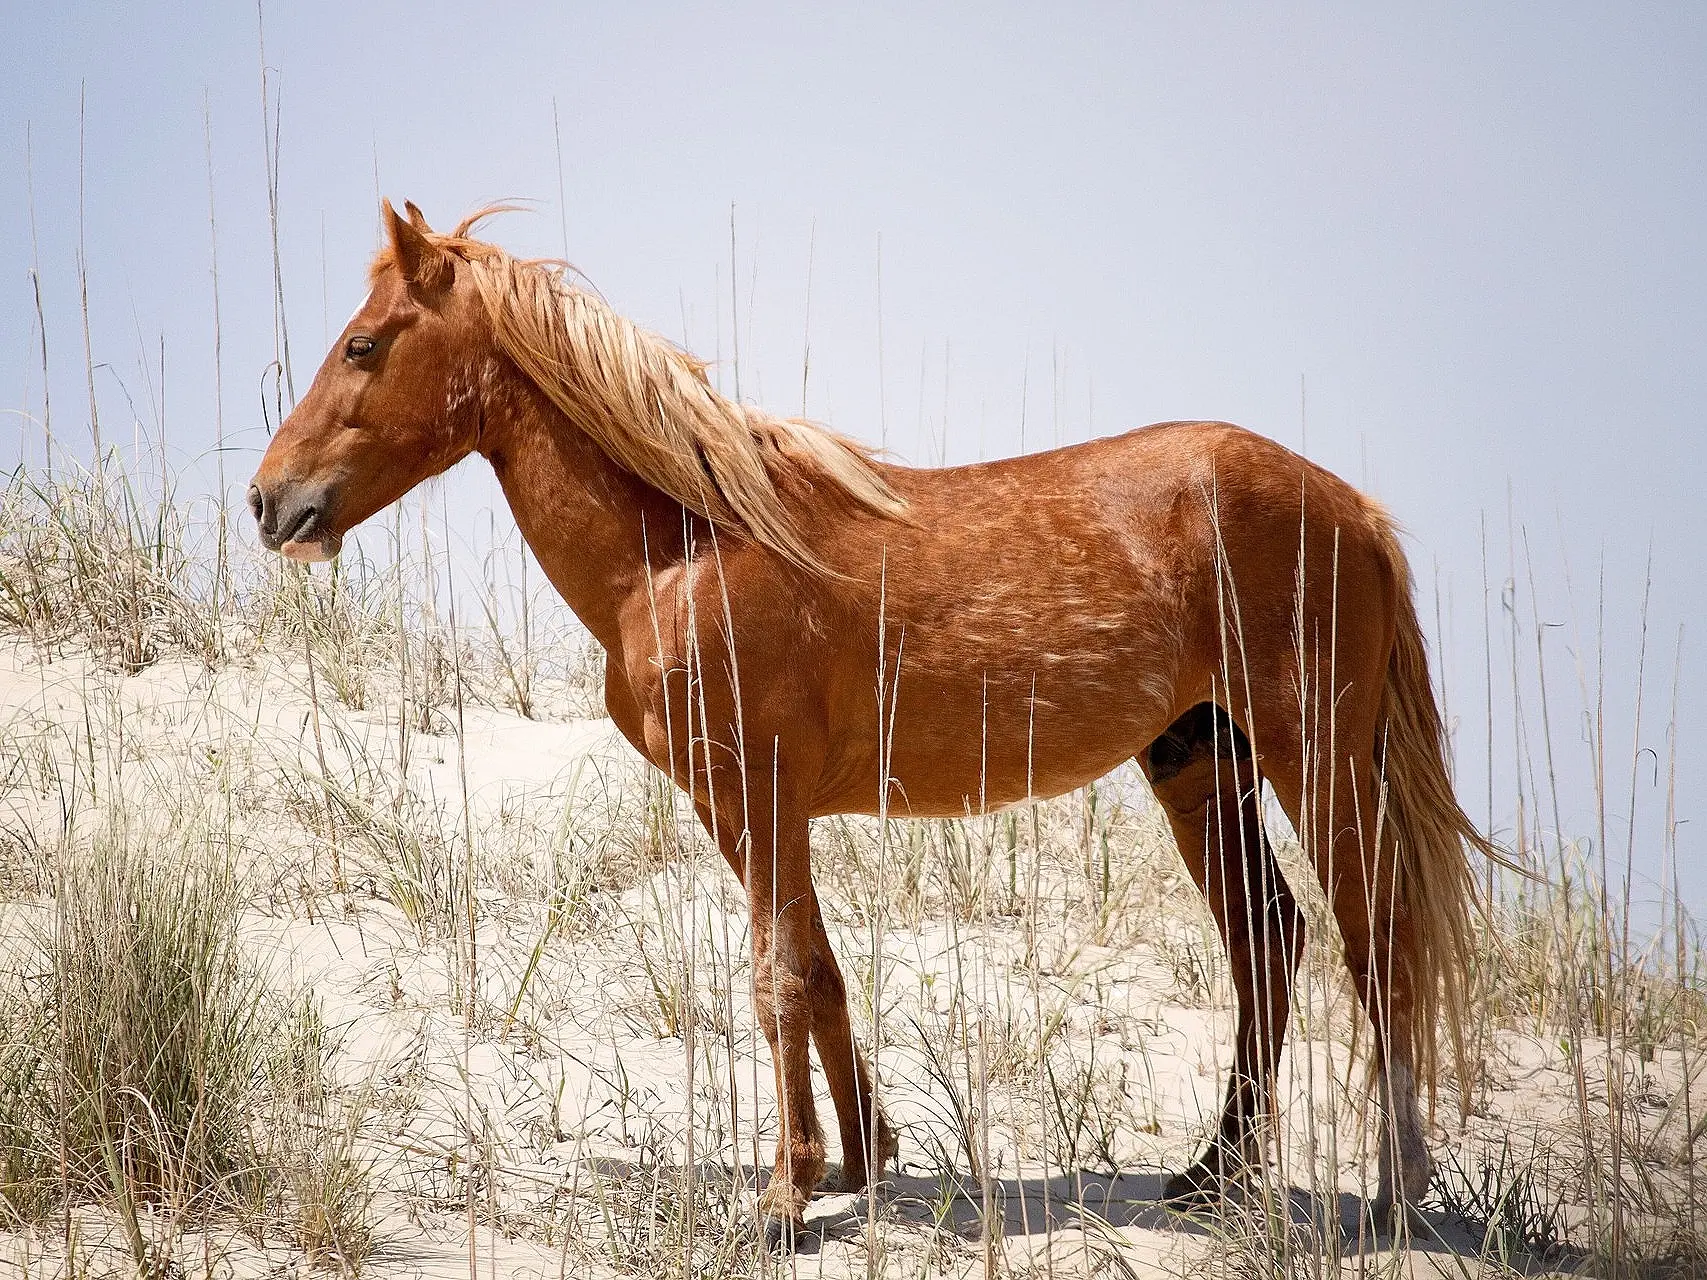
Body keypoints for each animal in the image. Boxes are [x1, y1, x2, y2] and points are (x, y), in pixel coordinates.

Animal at [244, 200, 1495, 1242]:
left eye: (363, 345)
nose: (269, 502)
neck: (686, 547)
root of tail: (1355, 508)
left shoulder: (763, 794)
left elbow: (777, 981)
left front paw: (785, 1194)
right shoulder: (748, 810)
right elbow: (819, 971)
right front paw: (856, 1160)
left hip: (1314, 760)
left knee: (1375, 940)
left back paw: (1396, 1188)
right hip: (1199, 764)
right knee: (1267, 939)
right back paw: (1212, 1171)